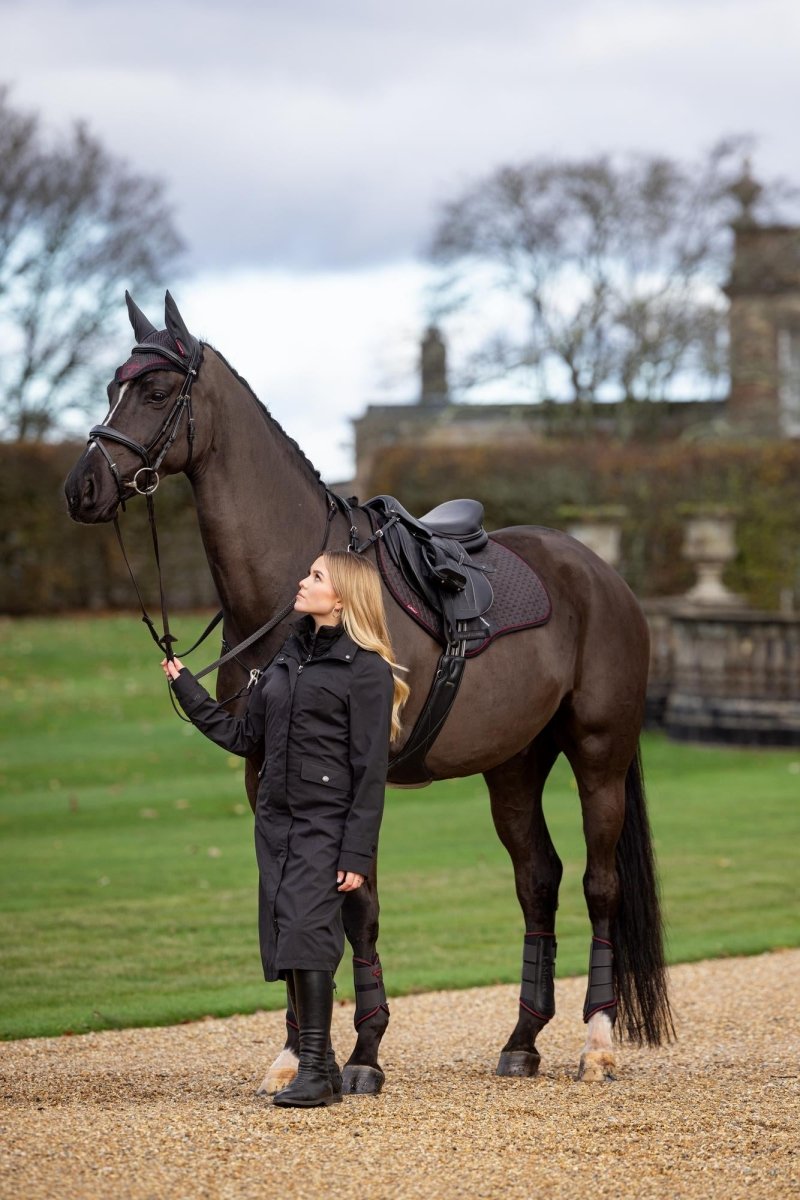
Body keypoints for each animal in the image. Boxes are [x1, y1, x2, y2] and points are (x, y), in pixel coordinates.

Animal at [65, 292, 671, 1099]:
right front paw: (296, 1054)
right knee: (536, 880)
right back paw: (521, 1040)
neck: (299, 606)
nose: (81, 487)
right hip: (513, 766)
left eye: (158, 392)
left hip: (599, 755)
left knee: (600, 886)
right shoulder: (266, 776)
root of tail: (600, 572)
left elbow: (360, 909)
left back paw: (597, 1043)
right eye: (112, 386)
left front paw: (363, 1053)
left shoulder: (361, 778)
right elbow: (289, 899)